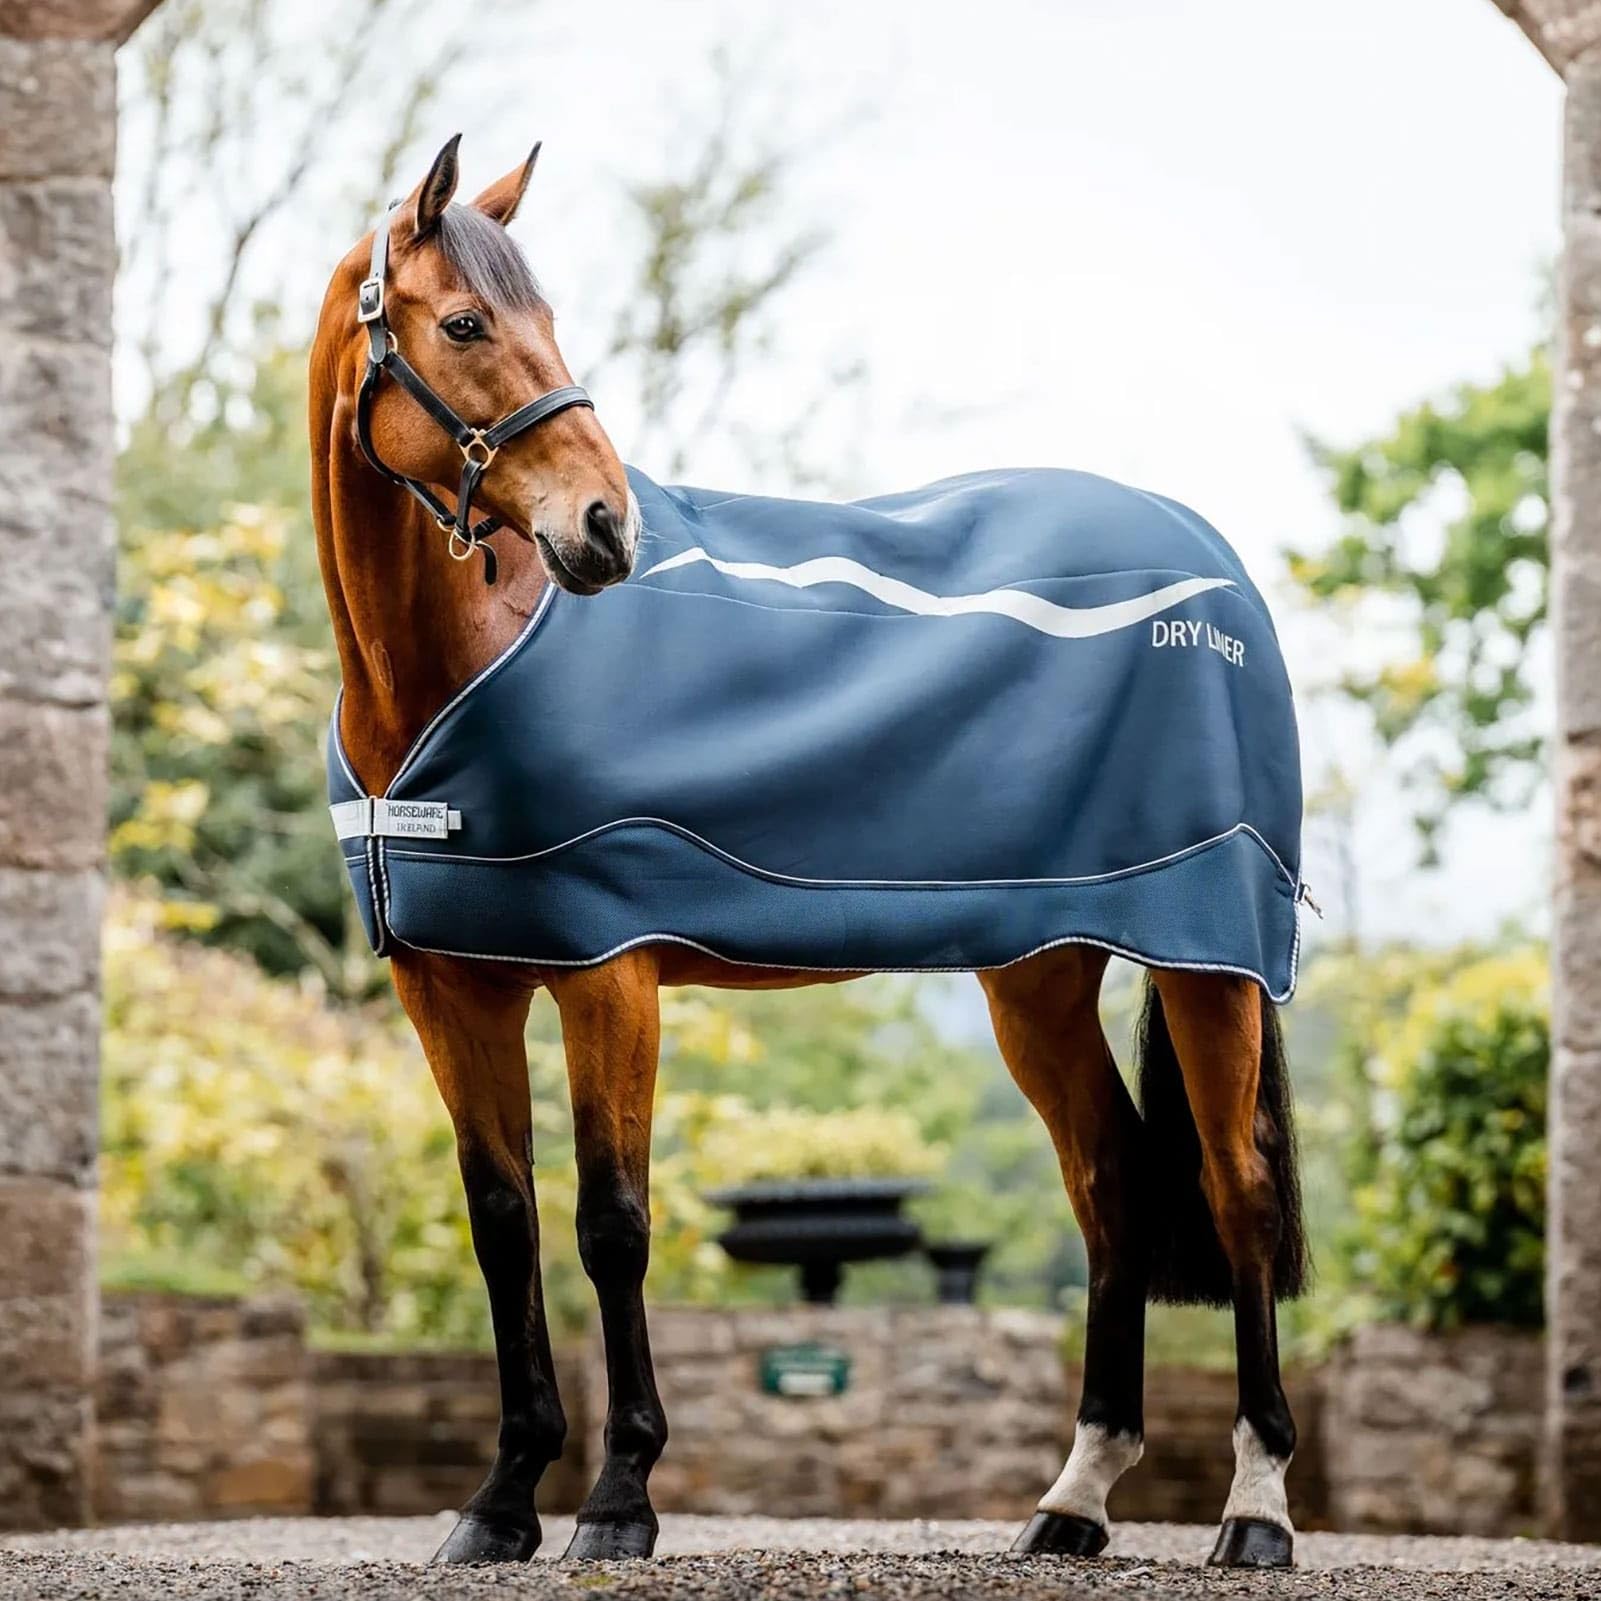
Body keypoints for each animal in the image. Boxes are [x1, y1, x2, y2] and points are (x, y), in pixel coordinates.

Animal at [309, 135, 1309, 1570]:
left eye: (543, 316)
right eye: (462, 323)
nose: (606, 530)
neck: (451, 666)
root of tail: (1211, 565)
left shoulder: (609, 976)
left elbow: (611, 1224)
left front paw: (618, 1499)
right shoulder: (450, 990)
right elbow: (505, 1226)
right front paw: (498, 1504)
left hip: (1207, 961)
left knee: (1237, 1197)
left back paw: (1256, 1508)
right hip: (1039, 974)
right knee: (1112, 1183)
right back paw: (1071, 1500)